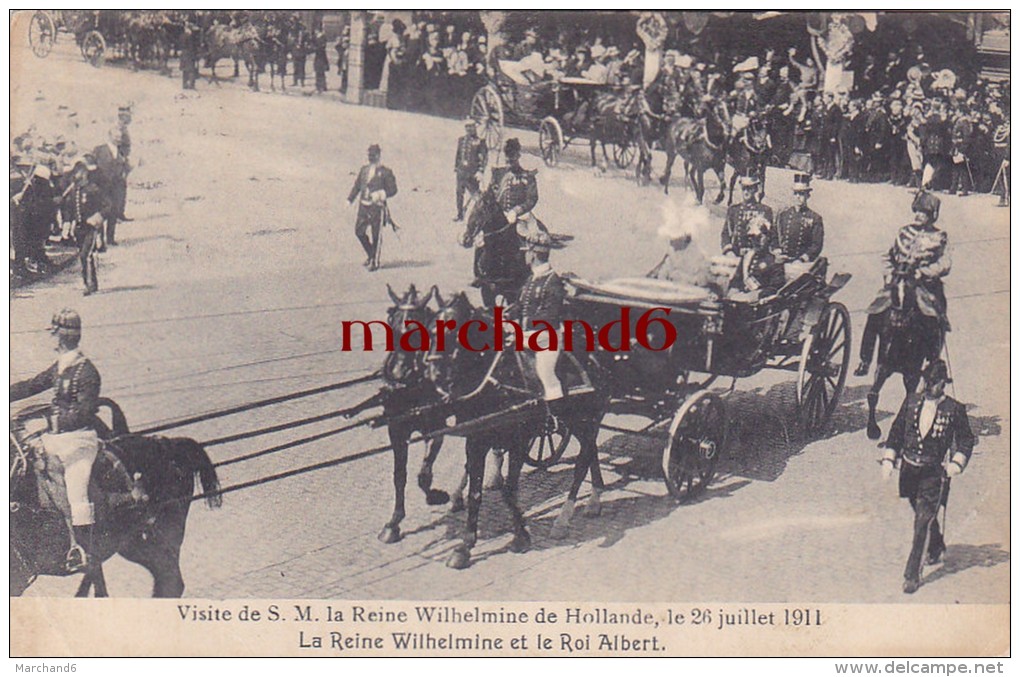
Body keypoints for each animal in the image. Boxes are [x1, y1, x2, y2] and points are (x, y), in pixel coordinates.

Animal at [342, 281, 450, 546]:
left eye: (418, 330)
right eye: (390, 322)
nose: (397, 375)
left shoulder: (436, 426)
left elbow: (424, 474)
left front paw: (435, 496)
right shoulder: (397, 430)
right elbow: (399, 476)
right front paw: (393, 523)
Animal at [422, 293, 603, 566]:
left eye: (453, 329)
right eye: (432, 330)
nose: (435, 375)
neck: (497, 380)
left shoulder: (518, 440)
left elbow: (509, 490)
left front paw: (520, 536)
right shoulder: (476, 442)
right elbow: (476, 493)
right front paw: (465, 546)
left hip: (585, 418)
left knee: (583, 461)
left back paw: (564, 519)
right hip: (577, 422)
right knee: (590, 452)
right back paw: (594, 498)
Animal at [864, 267, 942, 442]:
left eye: (912, 290)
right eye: (892, 288)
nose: (898, 320)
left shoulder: (912, 372)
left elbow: (909, 398)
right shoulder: (882, 366)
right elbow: (872, 394)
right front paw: (872, 430)